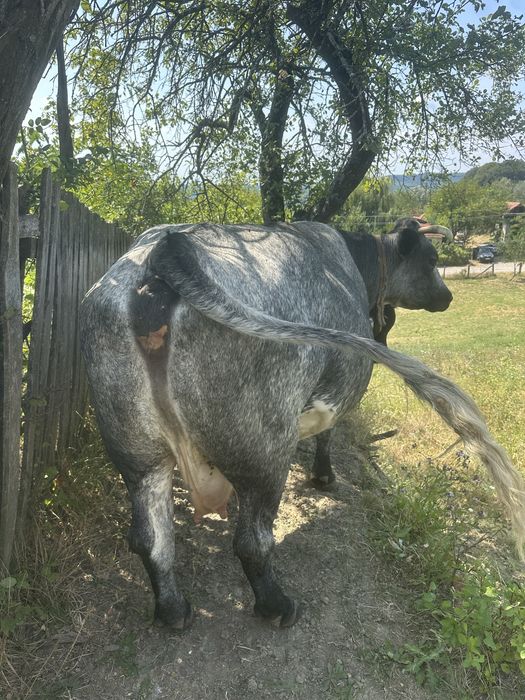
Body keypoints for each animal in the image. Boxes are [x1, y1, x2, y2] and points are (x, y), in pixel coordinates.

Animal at [79, 220, 525, 631]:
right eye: (431, 260)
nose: (447, 296)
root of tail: (164, 253)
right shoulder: (339, 393)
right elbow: (328, 434)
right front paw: (324, 477)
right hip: (264, 449)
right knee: (252, 542)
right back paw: (277, 606)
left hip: (137, 453)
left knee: (150, 538)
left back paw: (174, 611)